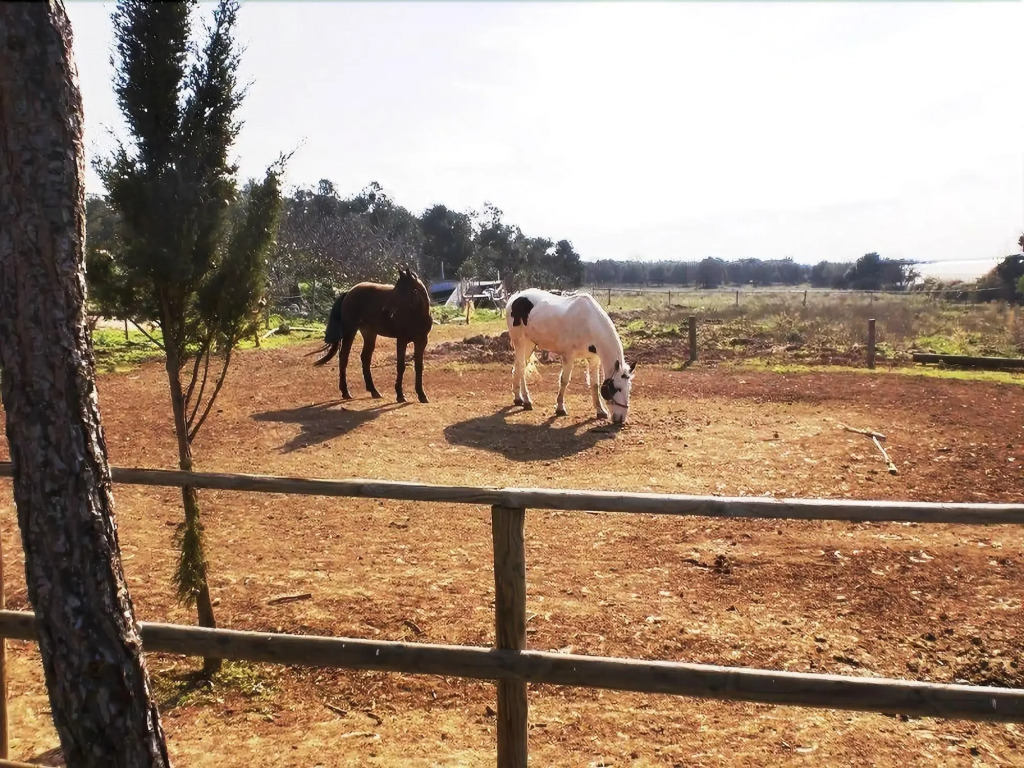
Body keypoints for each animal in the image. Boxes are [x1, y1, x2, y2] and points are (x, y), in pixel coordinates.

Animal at [311, 267, 433, 403]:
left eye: (402, 289)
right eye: (396, 288)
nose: (385, 310)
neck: (416, 315)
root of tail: (349, 292)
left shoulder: (422, 341)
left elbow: (419, 367)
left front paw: (422, 395)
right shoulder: (401, 340)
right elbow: (401, 366)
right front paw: (400, 395)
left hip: (369, 334)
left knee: (365, 358)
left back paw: (374, 391)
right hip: (350, 331)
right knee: (343, 358)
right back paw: (346, 392)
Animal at [506, 288, 636, 424]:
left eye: (629, 388)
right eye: (616, 388)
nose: (620, 419)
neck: (588, 322)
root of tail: (515, 297)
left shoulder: (594, 359)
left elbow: (594, 384)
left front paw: (600, 410)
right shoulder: (568, 356)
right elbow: (564, 380)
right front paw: (560, 409)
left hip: (530, 344)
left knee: (518, 368)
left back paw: (518, 398)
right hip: (520, 342)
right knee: (521, 368)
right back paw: (526, 401)